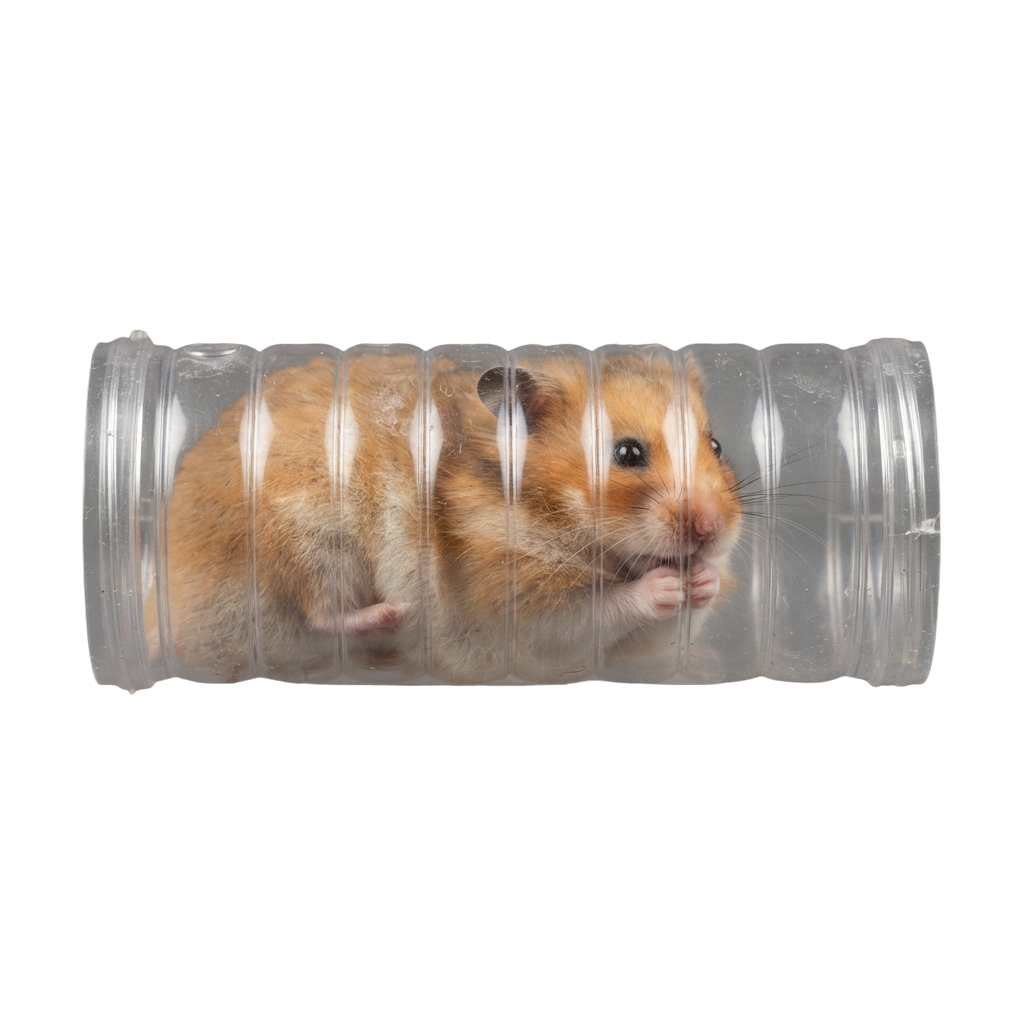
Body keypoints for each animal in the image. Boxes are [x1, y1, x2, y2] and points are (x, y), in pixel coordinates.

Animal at [145, 350, 741, 683]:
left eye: (716, 445)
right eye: (626, 454)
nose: (712, 530)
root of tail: (162, 606)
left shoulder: (642, 653)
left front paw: (705, 580)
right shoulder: (514, 599)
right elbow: (598, 608)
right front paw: (666, 585)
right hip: (308, 543)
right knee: (318, 611)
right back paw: (389, 618)